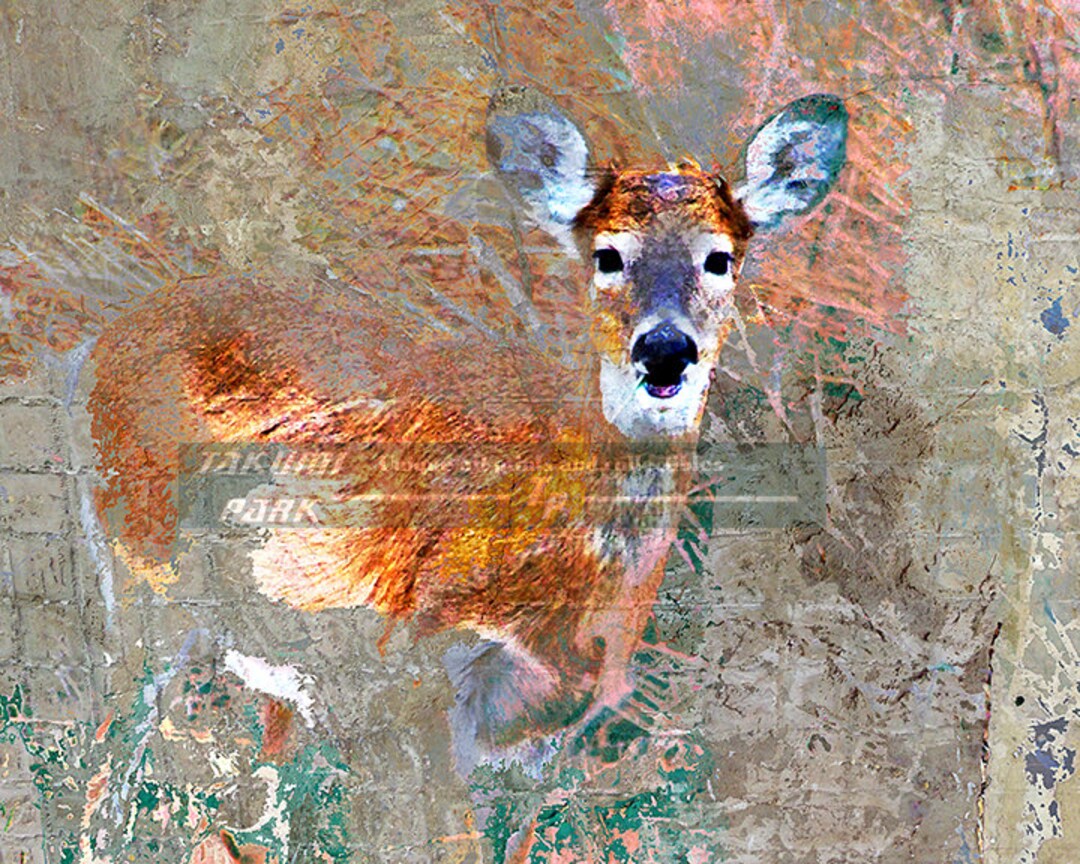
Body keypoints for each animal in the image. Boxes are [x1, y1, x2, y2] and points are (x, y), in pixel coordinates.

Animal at [88, 84, 847, 787]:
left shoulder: (539, 723)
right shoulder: (410, 652)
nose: (664, 349)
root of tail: (104, 338)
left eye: (720, 258)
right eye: (607, 255)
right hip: (146, 559)